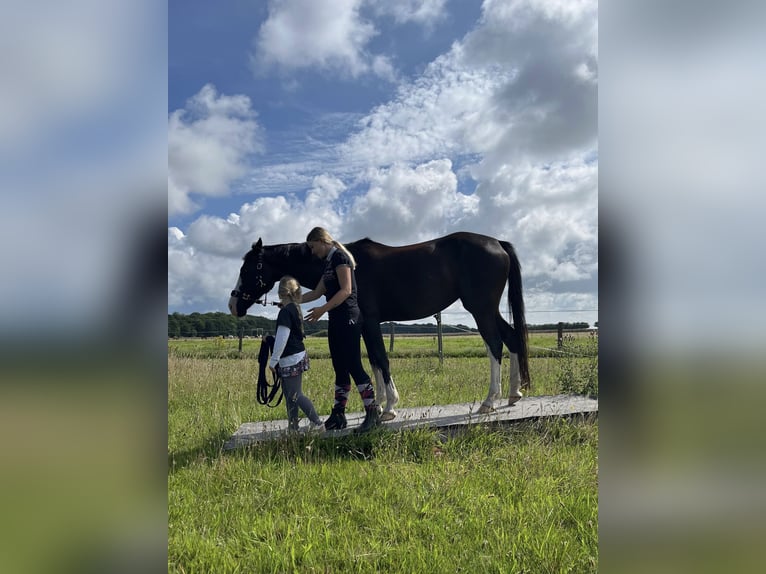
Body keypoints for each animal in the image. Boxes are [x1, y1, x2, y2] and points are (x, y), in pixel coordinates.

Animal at [228, 232, 530, 420]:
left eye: (247, 269)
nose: (234, 305)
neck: (348, 263)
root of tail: (497, 243)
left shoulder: (371, 322)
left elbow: (382, 359)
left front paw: (390, 406)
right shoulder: (364, 326)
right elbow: (373, 361)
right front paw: (381, 404)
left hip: (480, 309)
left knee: (495, 344)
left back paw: (489, 401)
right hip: (488, 309)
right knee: (512, 338)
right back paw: (514, 393)